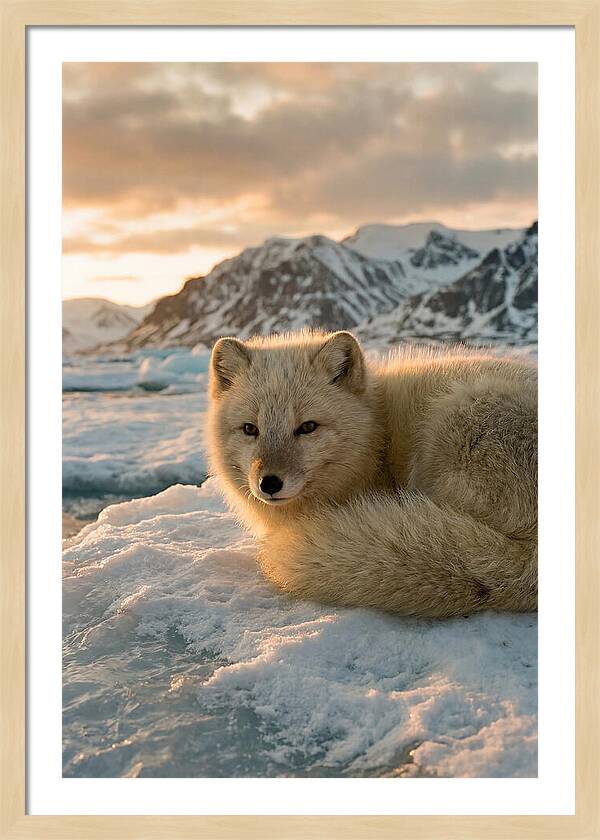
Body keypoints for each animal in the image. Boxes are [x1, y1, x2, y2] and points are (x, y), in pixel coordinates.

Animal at [207, 330, 537, 618]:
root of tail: (528, 562)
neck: (376, 435)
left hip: (452, 423)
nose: (269, 483)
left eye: (308, 427)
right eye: (250, 429)